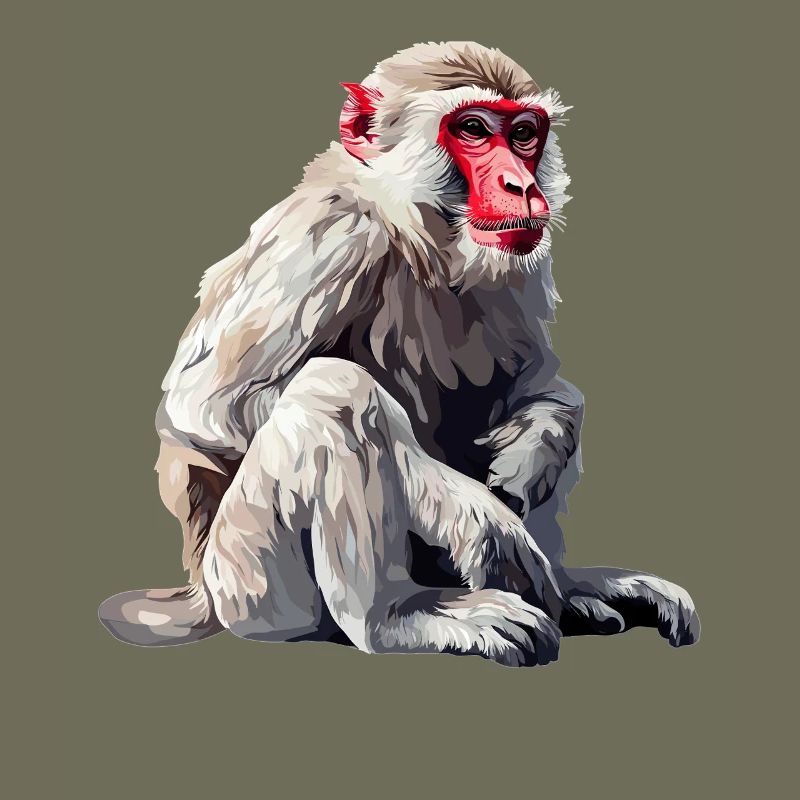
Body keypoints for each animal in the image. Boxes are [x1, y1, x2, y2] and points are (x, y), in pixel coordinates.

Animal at [99, 42, 699, 666]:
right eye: (473, 129)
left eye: (523, 134)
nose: (520, 185)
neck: (417, 231)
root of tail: (202, 594)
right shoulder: (330, 235)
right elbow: (207, 411)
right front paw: (470, 511)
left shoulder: (521, 261)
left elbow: (540, 384)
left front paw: (535, 447)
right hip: (251, 585)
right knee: (334, 393)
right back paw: (398, 617)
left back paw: (571, 590)